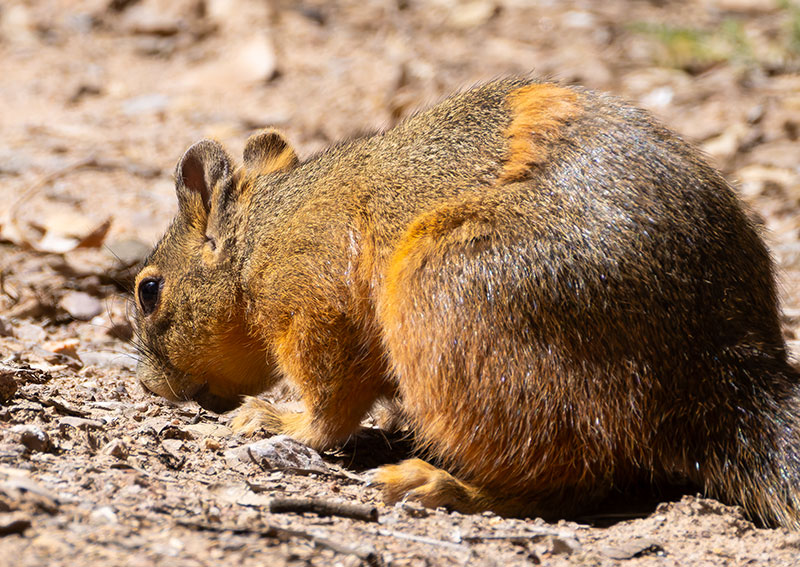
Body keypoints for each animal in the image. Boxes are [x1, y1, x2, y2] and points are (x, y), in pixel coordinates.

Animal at [134, 77, 800, 528]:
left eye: (148, 291)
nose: (147, 384)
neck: (260, 236)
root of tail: (722, 372)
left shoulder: (316, 306)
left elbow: (329, 405)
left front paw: (280, 421)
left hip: (454, 298)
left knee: (567, 478)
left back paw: (445, 487)